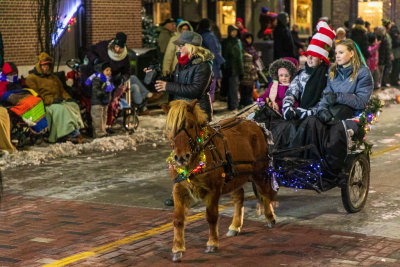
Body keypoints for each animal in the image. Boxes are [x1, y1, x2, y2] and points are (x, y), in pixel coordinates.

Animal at [166, 100, 278, 262]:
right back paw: (235, 226)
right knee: (239, 197)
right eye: (170, 128)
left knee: (264, 193)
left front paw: (212, 243)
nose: (180, 157)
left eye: (191, 125)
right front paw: (177, 249)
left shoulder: (213, 190)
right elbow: (178, 219)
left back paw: (270, 218)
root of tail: (254, 123)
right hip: (236, 176)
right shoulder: (179, 190)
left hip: (259, 170)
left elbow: (211, 217)